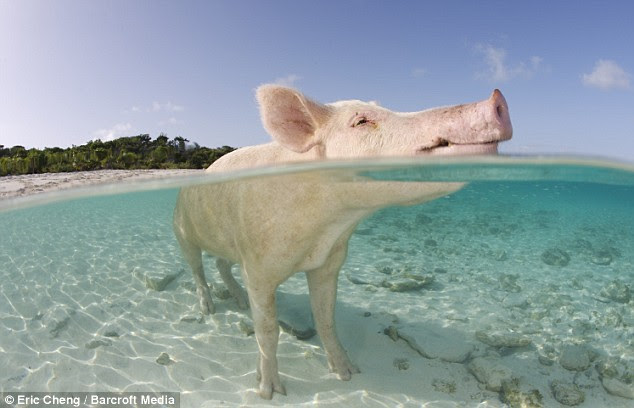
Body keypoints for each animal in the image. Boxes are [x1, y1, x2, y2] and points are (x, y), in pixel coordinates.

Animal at [172, 84, 508, 400]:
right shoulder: (257, 267)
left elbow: (326, 319)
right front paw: (270, 392)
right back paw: (208, 310)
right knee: (197, 268)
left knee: (221, 263)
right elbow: (267, 331)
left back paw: (239, 301)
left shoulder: (330, 261)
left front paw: (348, 374)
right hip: (182, 230)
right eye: (360, 121)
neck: (327, 229)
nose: (497, 99)